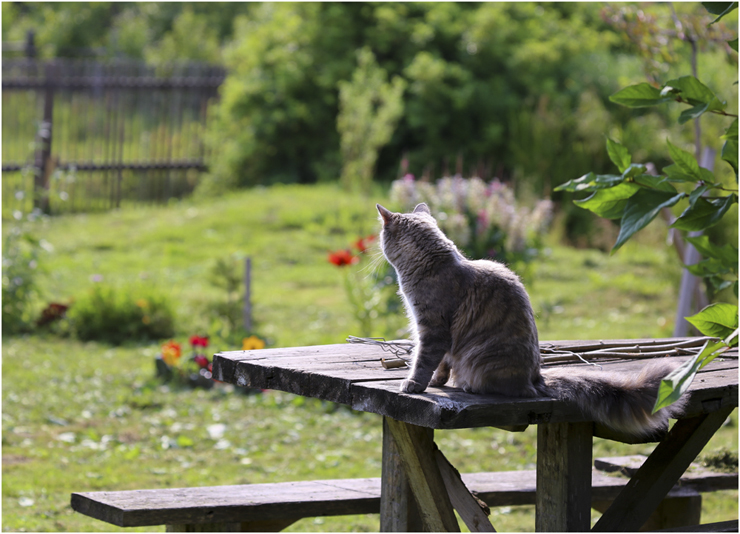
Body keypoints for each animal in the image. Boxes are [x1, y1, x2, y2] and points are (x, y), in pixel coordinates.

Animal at [378, 202, 684, 440]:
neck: (433, 265)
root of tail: (537, 378)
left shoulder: (432, 329)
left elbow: (423, 361)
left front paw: (414, 384)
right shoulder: (438, 335)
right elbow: (440, 365)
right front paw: (438, 382)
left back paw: (467, 385)